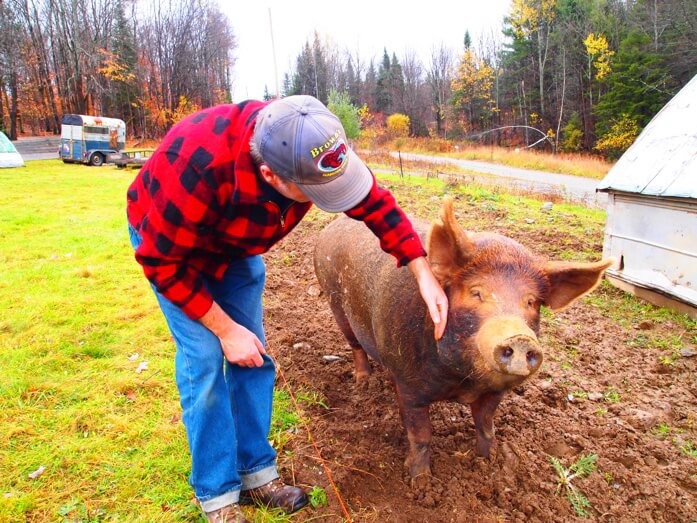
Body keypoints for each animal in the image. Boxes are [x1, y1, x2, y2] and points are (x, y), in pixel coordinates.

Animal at [312, 200, 612, 478]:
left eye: (532, 302)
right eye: (476, 292)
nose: (520, 338)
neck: (463, 382)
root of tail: (332, 226)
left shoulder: (493, 393)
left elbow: (486, 427)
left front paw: (489, 462)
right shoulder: (408, 386)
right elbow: (421, 436)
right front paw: (420, 482)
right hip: (335, 303)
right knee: (355, 346)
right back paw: (363, 383)